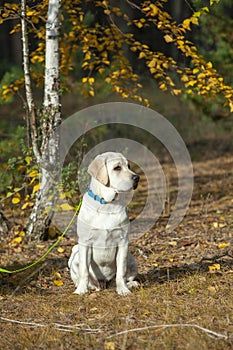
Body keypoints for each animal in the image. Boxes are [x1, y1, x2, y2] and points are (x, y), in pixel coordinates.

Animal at [68, 151, 139, 296]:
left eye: (128, 166)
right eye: (117, 168)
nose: (137, 178)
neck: (107, 203)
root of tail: (104, 283)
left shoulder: (123, 242)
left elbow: (121, 271)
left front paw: (123, 289)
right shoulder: (85, 242)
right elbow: (84, 271)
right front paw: (81, 290)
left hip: (131, 258)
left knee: (126, 275)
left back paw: (131, 284)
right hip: (75, 254)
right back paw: (89, 287)